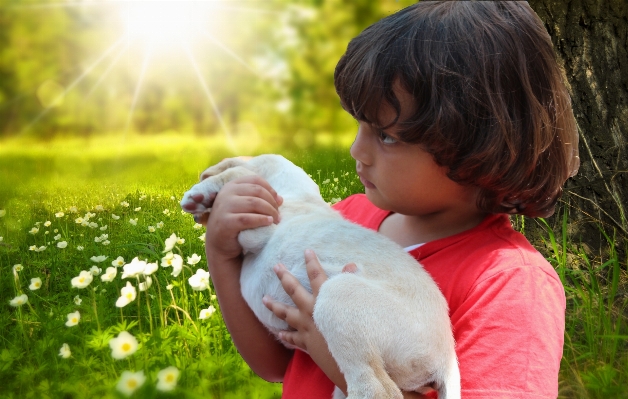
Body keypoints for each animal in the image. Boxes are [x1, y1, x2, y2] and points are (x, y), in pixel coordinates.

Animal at [179, 154, 458, 399]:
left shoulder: (261, 227)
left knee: (378, 391)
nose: (198, 212)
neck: (297, 192)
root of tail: (446, 357)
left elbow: (234, 174)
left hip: (339, 294)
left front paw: (199, 193)